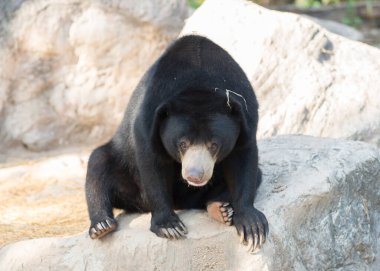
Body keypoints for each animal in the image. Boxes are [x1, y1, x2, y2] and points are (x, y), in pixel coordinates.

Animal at [85, 34, 268, 253]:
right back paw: (102, 225)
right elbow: (152, 162)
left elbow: (244, 160)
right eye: (182, 143)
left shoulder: (246, 115)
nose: (194, 175)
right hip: (126, 171)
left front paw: (252, 227)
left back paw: (220, 208)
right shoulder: (150, 114)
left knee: (256, 175)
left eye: (214, 145)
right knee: (98, 164)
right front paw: (169, 226)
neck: (199, 78)